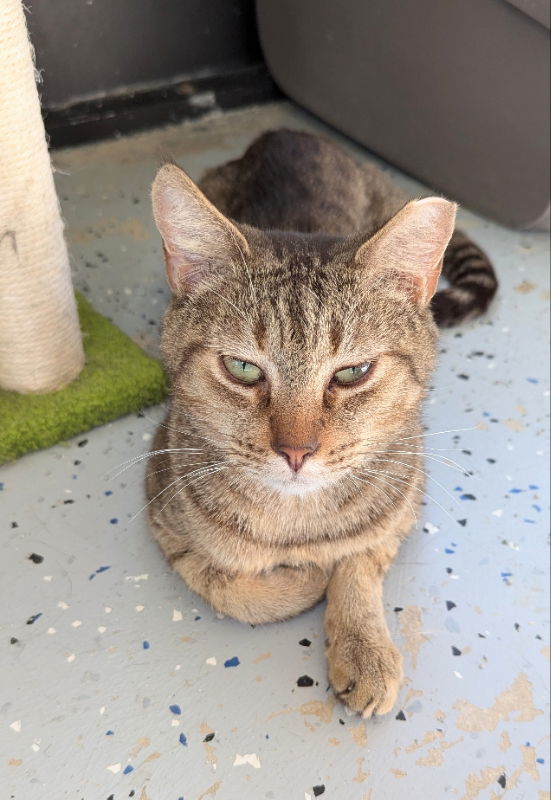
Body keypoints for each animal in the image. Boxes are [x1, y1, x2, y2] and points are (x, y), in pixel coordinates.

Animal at [144, 128, 498, 716]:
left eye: (352, 372)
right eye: (242, 368)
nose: (296, 451)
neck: (296, 521)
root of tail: (288, 132)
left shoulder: (400, 505)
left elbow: (357, 560)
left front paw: (362, 645)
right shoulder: (162, 513)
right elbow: (231, 587)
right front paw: (305, 578)